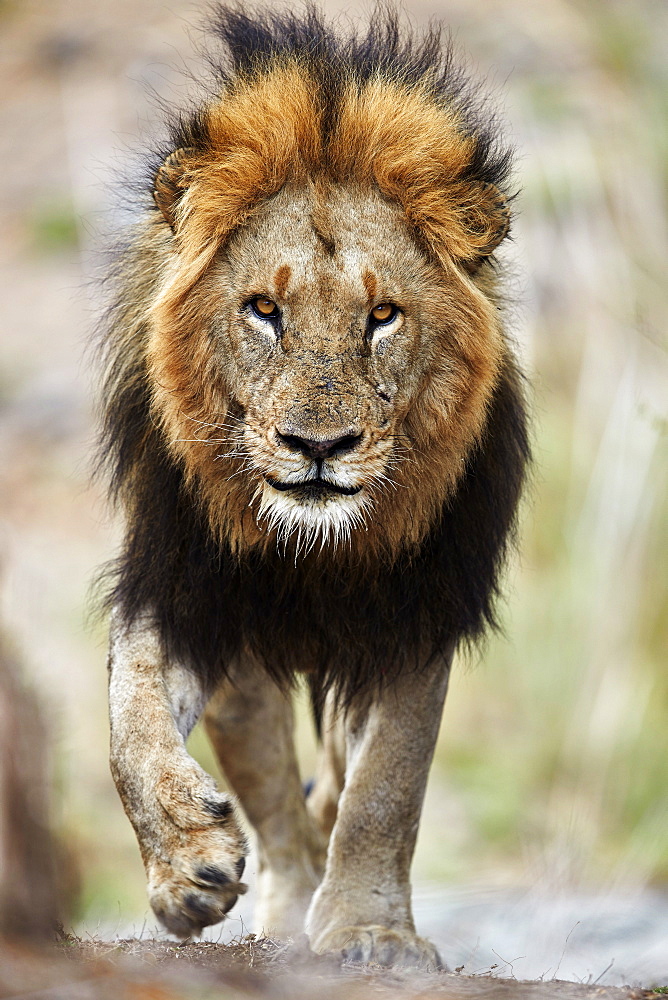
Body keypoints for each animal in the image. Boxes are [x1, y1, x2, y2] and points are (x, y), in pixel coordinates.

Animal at [99, 3, 528, 972]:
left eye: (383, 316)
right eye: (265, 310)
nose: (319, 446)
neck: (314, 549)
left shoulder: (416, 611)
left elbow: (386, 789)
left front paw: (373, 932)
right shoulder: (187, 585)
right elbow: (130, 720)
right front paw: (185, 865)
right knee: (277, 815)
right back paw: (279, 907)